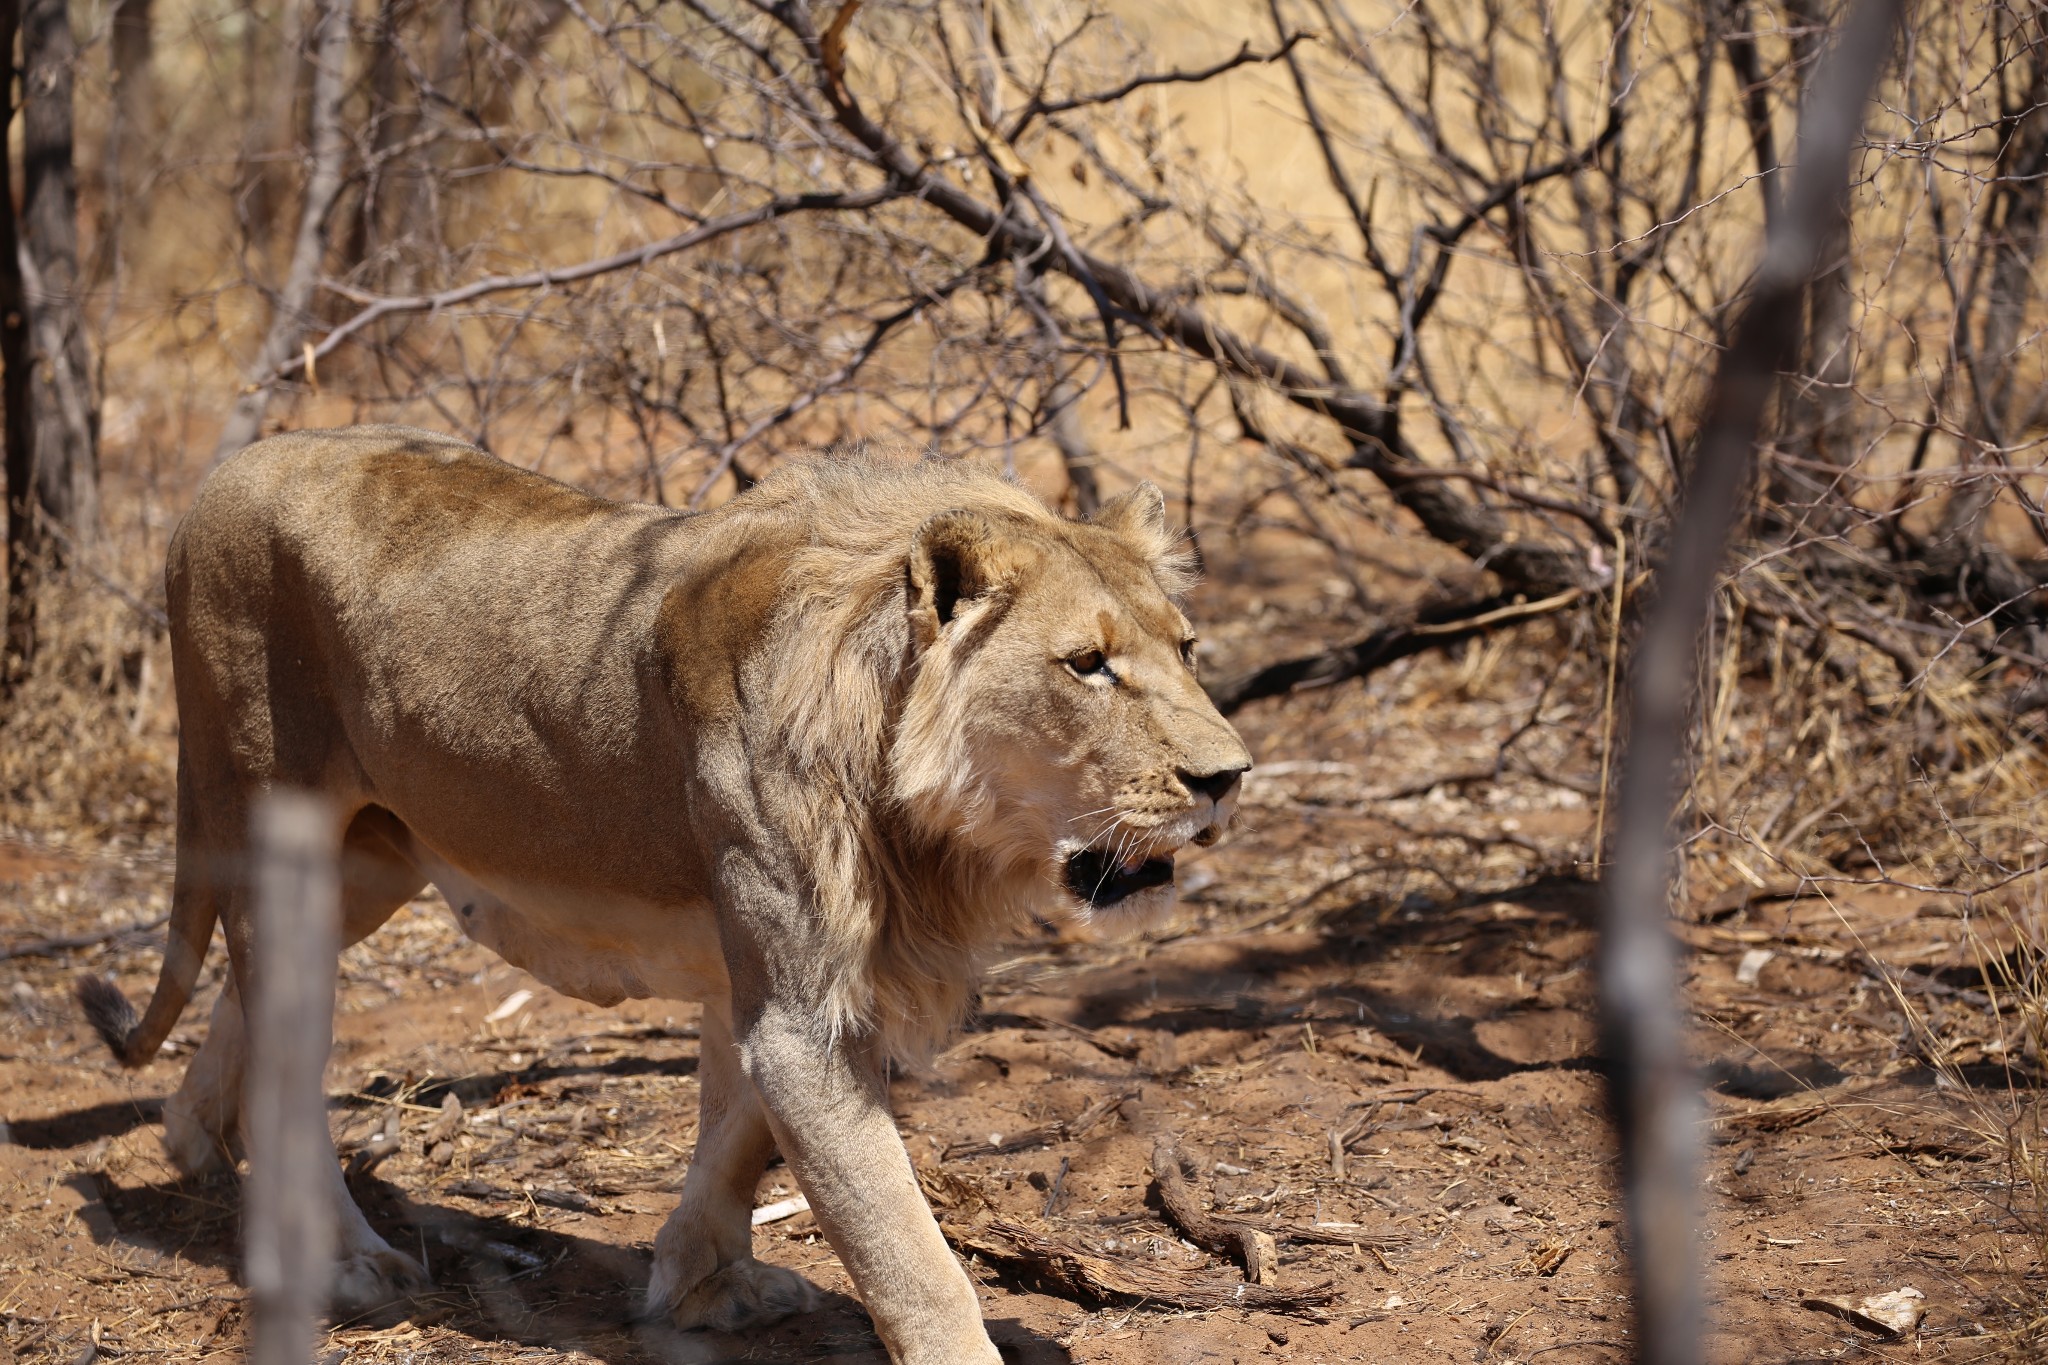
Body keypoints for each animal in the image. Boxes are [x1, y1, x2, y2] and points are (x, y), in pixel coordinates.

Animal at [75, 423, 1245, 1358]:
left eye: (1188, 648)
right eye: (1086, 664)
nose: (1229, 776)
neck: (929, 821)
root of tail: (221, 474)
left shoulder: (761, 978)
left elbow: (735, 1140)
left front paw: (698, 1286)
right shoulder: (801, 1009)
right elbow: (909, 1254)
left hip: (369, 863)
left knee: (240, 1002)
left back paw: (192, 1141)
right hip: (276, 818)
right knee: (285, 1052)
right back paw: (343, 1259)